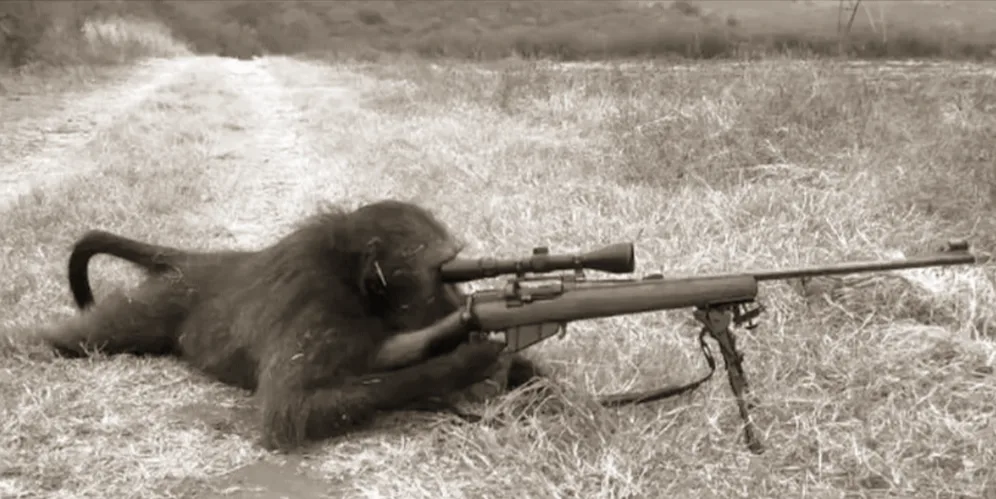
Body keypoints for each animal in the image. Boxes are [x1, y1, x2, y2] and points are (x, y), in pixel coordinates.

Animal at [40, 200, 542, 451]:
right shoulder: (317, 305)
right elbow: (292, 408)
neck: (355, 284)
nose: (464, 303)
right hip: (160, 304)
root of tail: (201, 263)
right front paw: (464, 363)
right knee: (83, 336)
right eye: (444, 272)